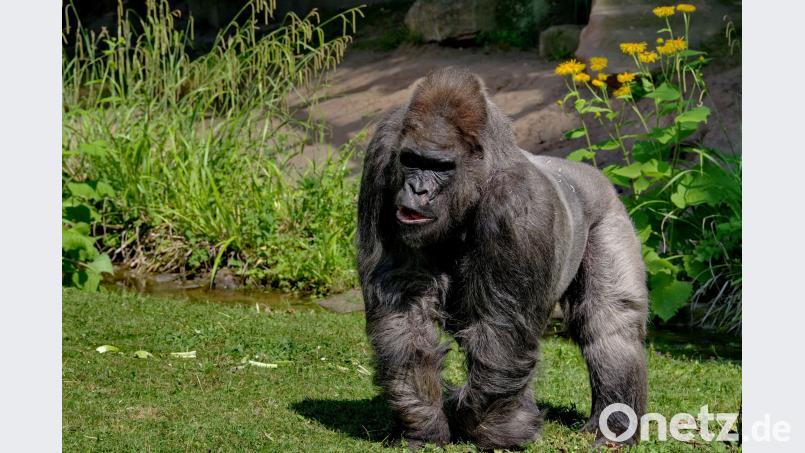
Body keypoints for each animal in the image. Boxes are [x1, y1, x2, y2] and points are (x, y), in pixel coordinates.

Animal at [356, 67, 648, 450]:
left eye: (440, 167)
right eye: (412, 160)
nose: (418, 190)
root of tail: (590, 173)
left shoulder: (519, 205)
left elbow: (501, 333)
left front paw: (495, 428)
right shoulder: (382, 154)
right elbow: (403, 308)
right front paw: (422, 423)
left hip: (609, 213)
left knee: (609, 323)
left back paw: (614, 423)